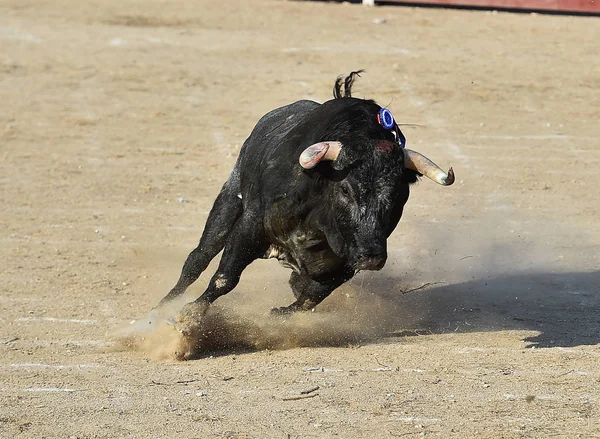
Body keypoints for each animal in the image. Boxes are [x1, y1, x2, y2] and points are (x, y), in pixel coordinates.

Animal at [152, 73, 452, 330]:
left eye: (398, 195)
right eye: (346, 190)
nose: (371, 257)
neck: (318, 219)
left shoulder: (344, 262)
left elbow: (312, 296)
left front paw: (278, 314)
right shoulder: (250, 226)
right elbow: (225, 277)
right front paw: (188, 317)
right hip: (229, 199)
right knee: (198, 259)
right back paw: (160, 308)